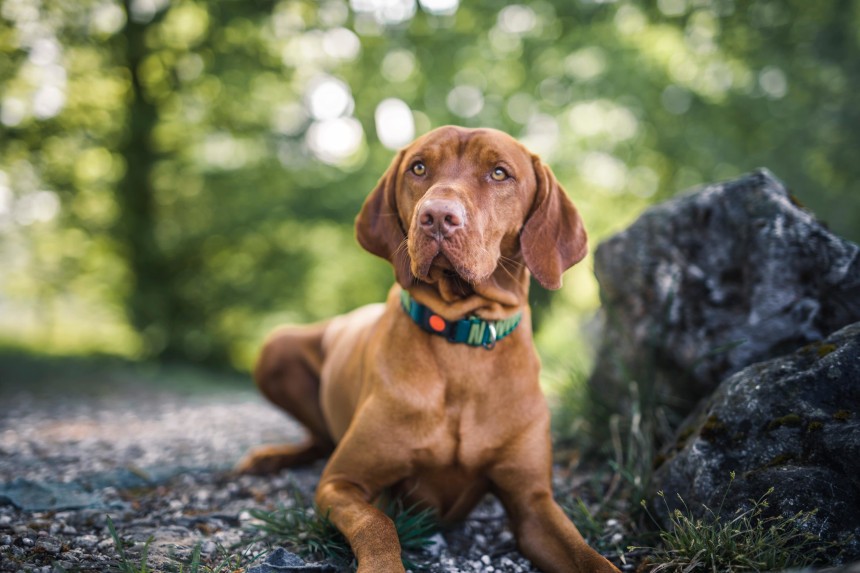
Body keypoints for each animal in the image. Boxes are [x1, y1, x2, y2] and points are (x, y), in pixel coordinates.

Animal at [237, 126, 620, 572]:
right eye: (418, 168)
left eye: (499, 173)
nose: (437, 215)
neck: (461, 341)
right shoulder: (340, 483)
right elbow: (378, 523)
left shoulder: (533, 503)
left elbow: (590, 557)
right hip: (275, 348)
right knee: (318, 440)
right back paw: (269, 458)